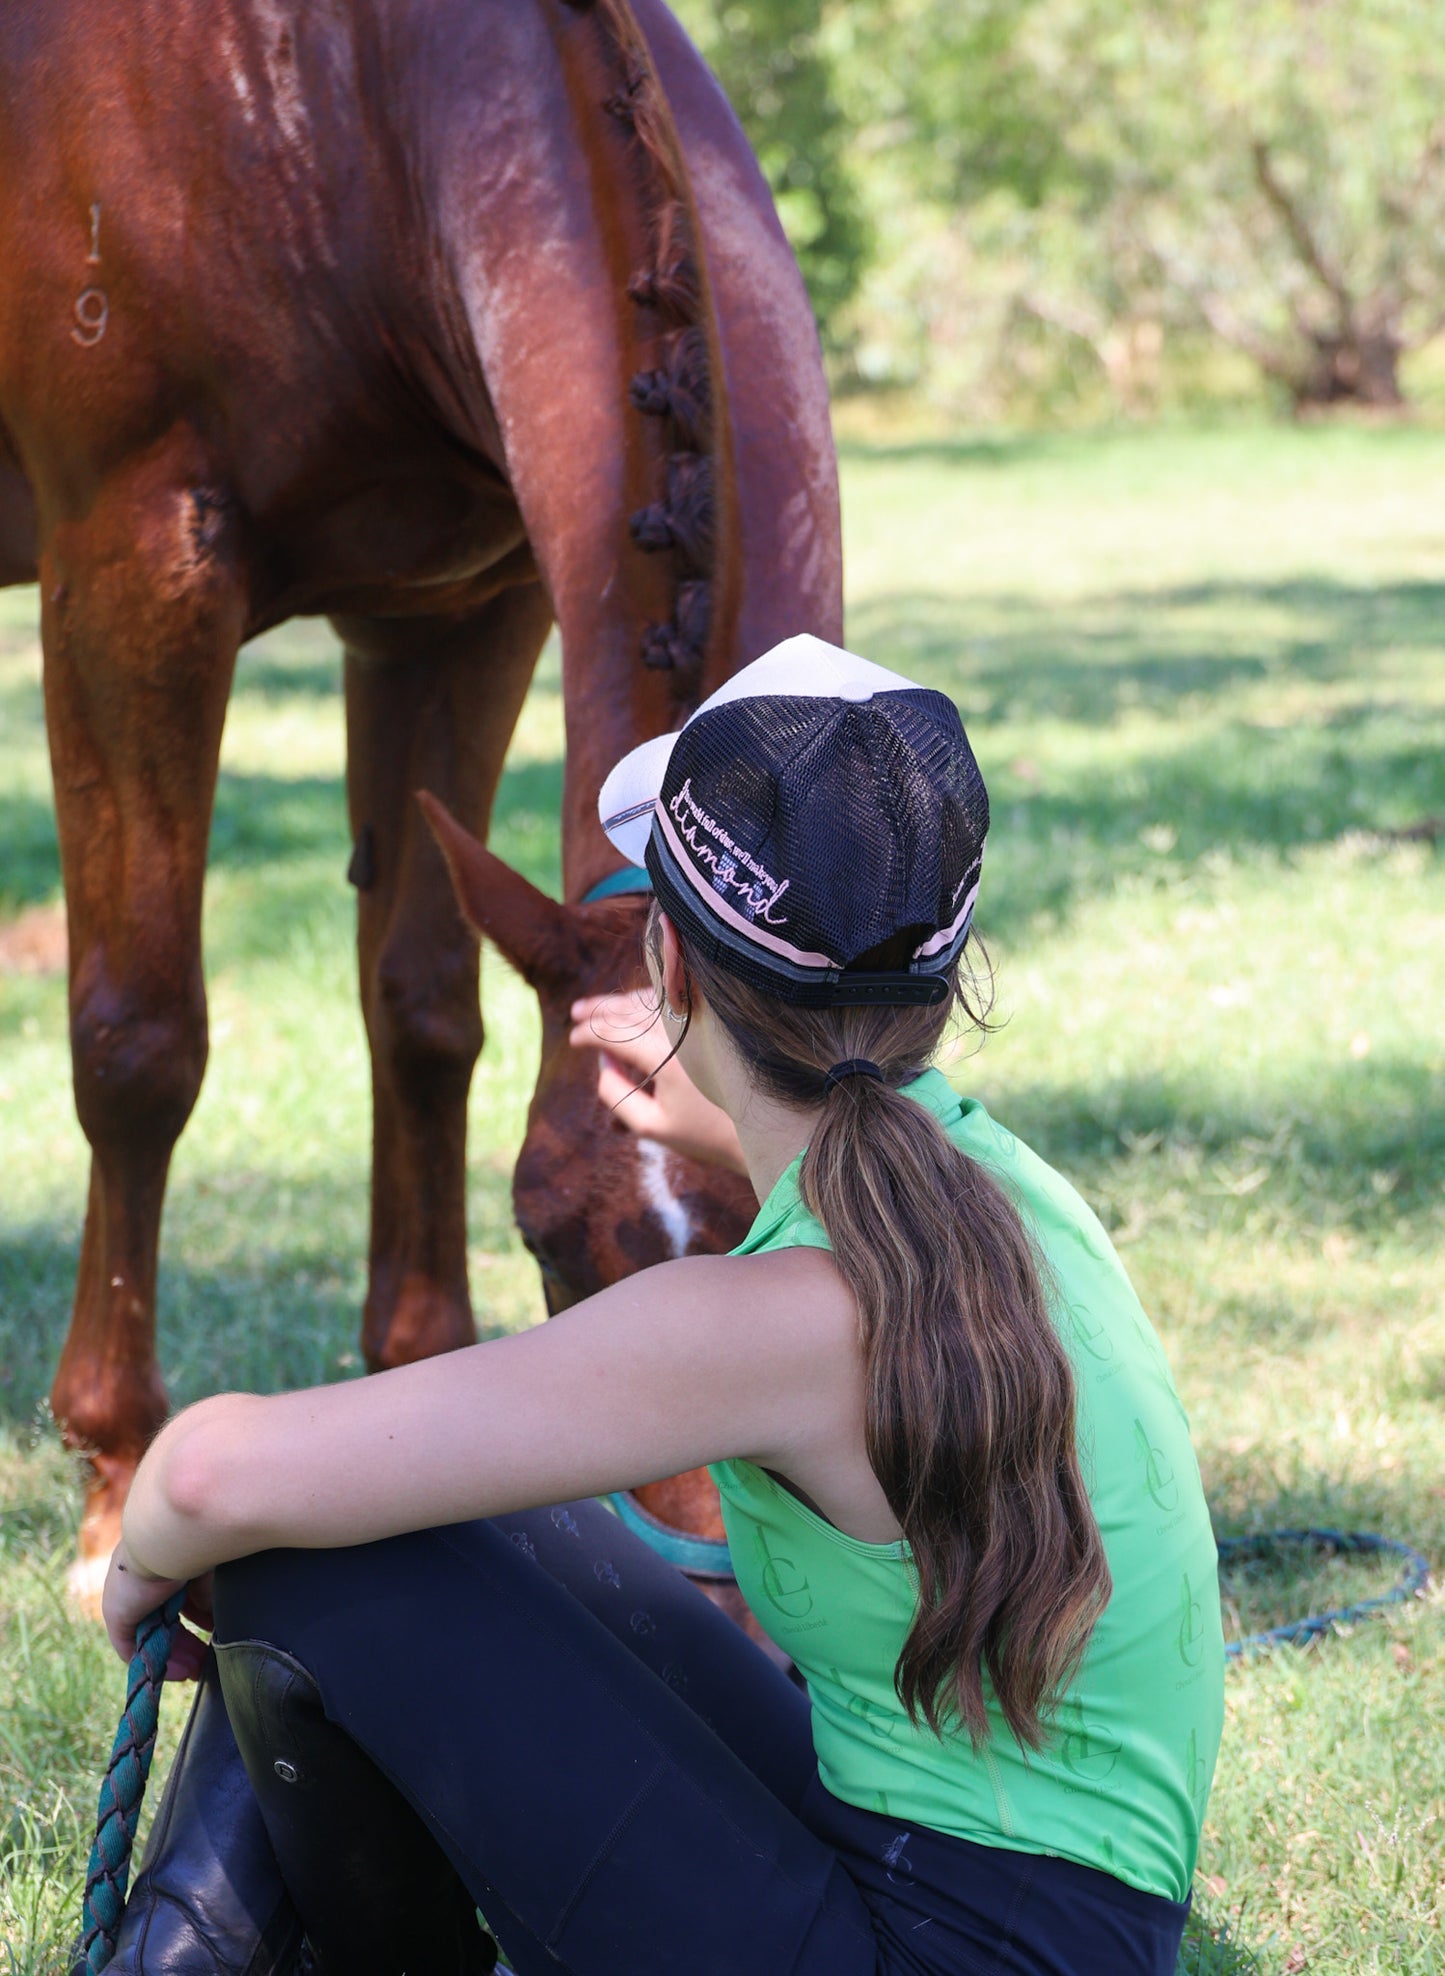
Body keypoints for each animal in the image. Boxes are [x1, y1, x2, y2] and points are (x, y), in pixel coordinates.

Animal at [0, 0, 838, 1604]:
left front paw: (418, 1376)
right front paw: (114, 1489)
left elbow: (423, 1003)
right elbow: (137, 1043)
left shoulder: (452, 612)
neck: (327, 105)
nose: (724, 1601)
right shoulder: (134, 576)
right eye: (553, 1243)